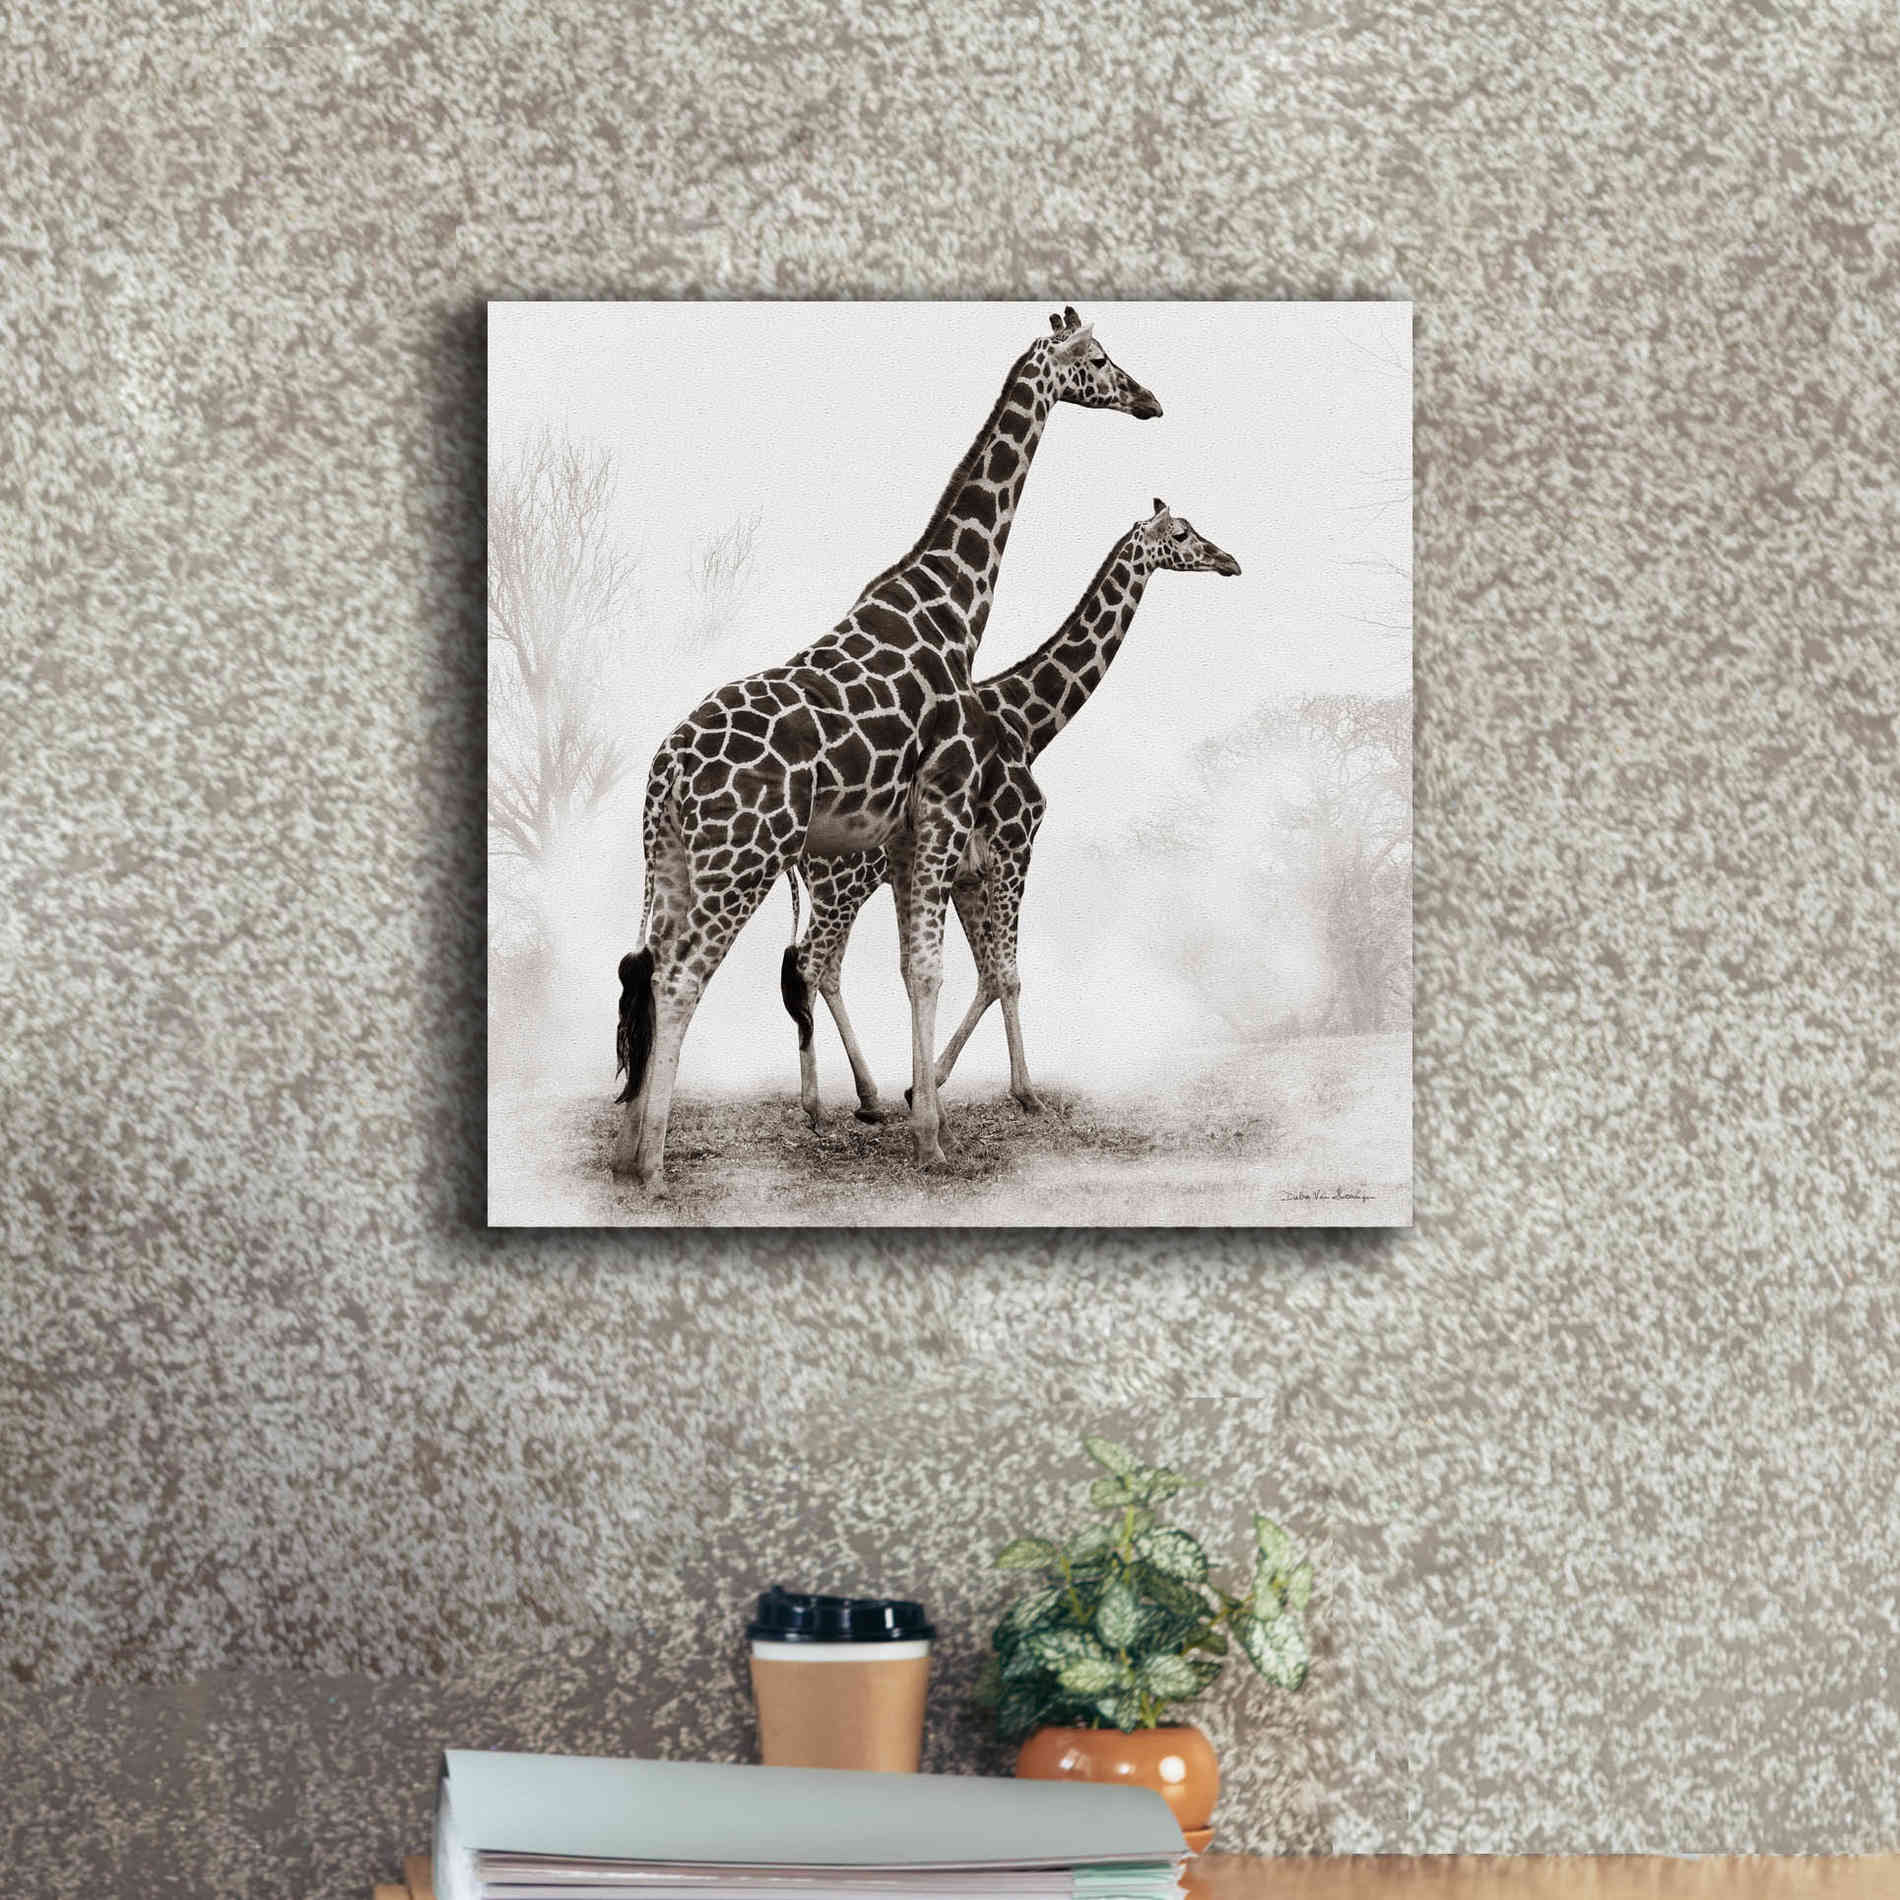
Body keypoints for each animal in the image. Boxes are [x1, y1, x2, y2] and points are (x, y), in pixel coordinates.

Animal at [612, 308, 1162, 1193]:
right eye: (1101, 357)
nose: (1150, 400)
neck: (952, 607)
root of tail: (667, 774)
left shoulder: (914, 835)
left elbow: (920, 968)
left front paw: (920, 1112)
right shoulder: (945, 809)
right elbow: (939, 969)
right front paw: (932, 1135)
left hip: (674, 860)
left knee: (649, 969)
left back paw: (628, 1151)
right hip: (743, 861)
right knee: (685, 976)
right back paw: (658, 1164)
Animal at [783, 500, 1241, 1127]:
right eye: (1182, 533)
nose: (1230, 561)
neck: (1028, 723)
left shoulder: (970, 874)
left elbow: (986, 975)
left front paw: (923, 1086)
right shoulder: (1015, 844)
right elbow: (1008, 975)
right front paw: (1024, 1092)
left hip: (845, 887)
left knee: (825, 968)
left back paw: (868, 1097)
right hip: (844, 884)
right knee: (809, 965)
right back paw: (815, 1102)